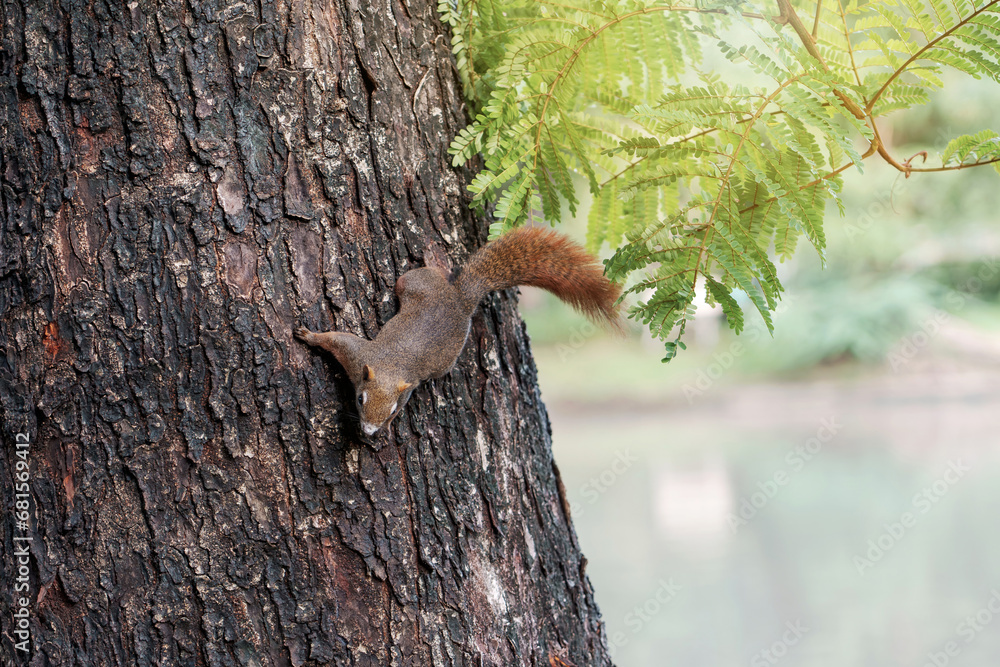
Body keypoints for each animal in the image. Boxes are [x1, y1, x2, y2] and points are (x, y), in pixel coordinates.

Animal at [295, 227, 621, 436]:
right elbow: (335, 340)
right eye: (360, 399)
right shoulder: (358, 355)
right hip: (416, 283)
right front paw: (309, 336)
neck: (390, 368)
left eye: (393, 411)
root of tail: (460, 298)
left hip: (441, 346)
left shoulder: (403, 383)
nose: (370, 431)